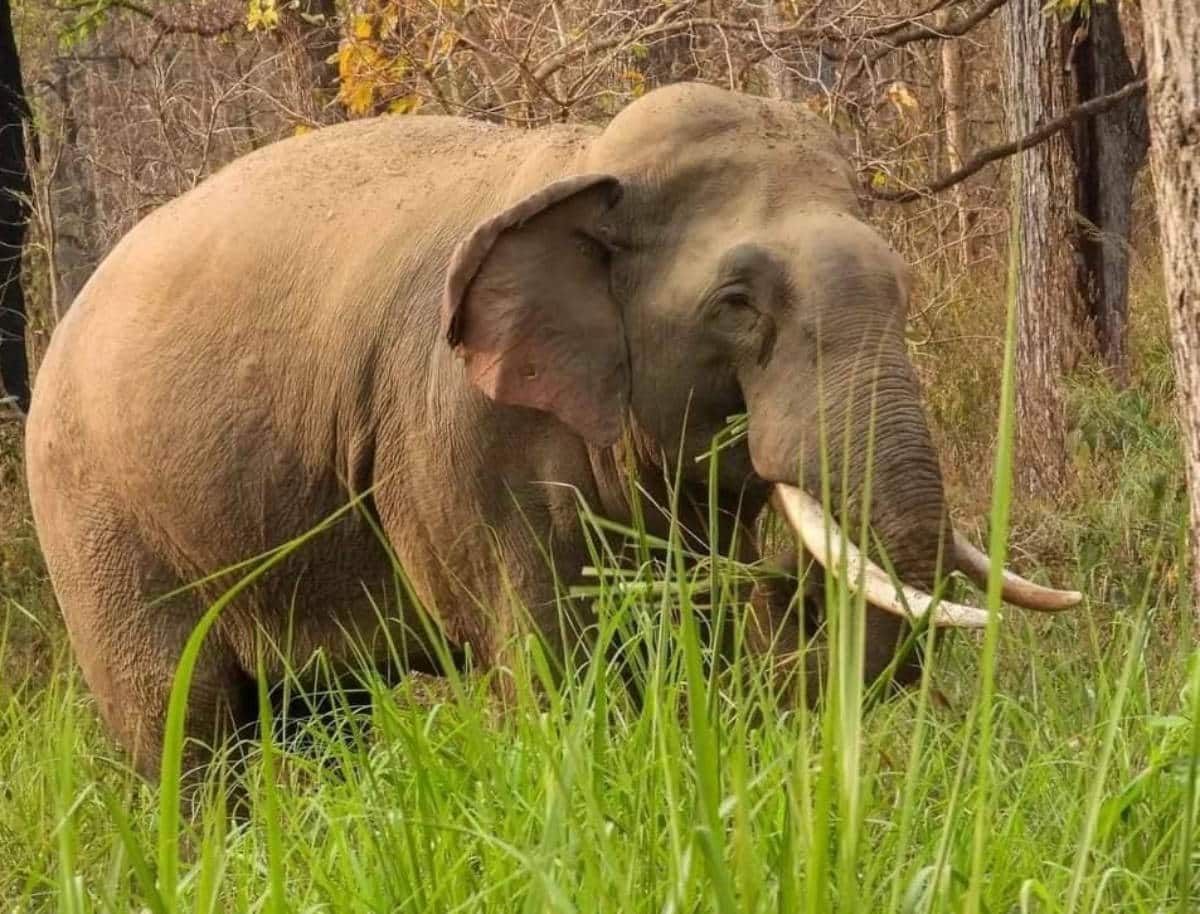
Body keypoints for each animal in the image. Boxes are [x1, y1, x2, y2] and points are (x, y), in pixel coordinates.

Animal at [24, 82, 1080, 785]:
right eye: (737, 305)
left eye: (903, 284)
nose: (779, 585)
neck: (588, 164)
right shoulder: (458, 437)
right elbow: (546, 660)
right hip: (95, 529)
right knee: (185, 729)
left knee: (323, 716)